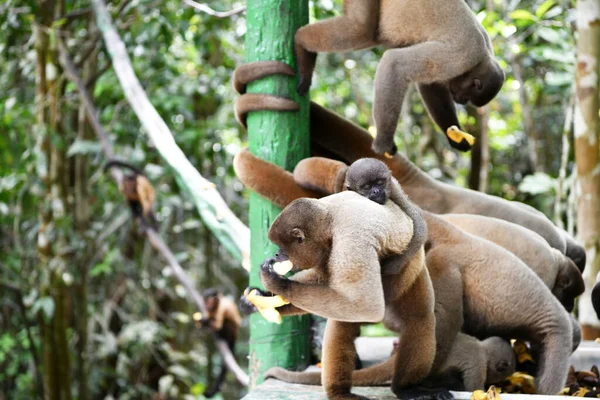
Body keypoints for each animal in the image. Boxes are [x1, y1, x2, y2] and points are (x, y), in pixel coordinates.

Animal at [292, 0, 504, 153]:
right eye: (467, 98)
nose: (460, 100)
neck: (483, 56)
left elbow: (430, 85)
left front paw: (455, 137)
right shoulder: (459, 57)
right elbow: (394, 63)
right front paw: (383, 142)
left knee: (370, 34)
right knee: (359, 30)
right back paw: (301, 42)